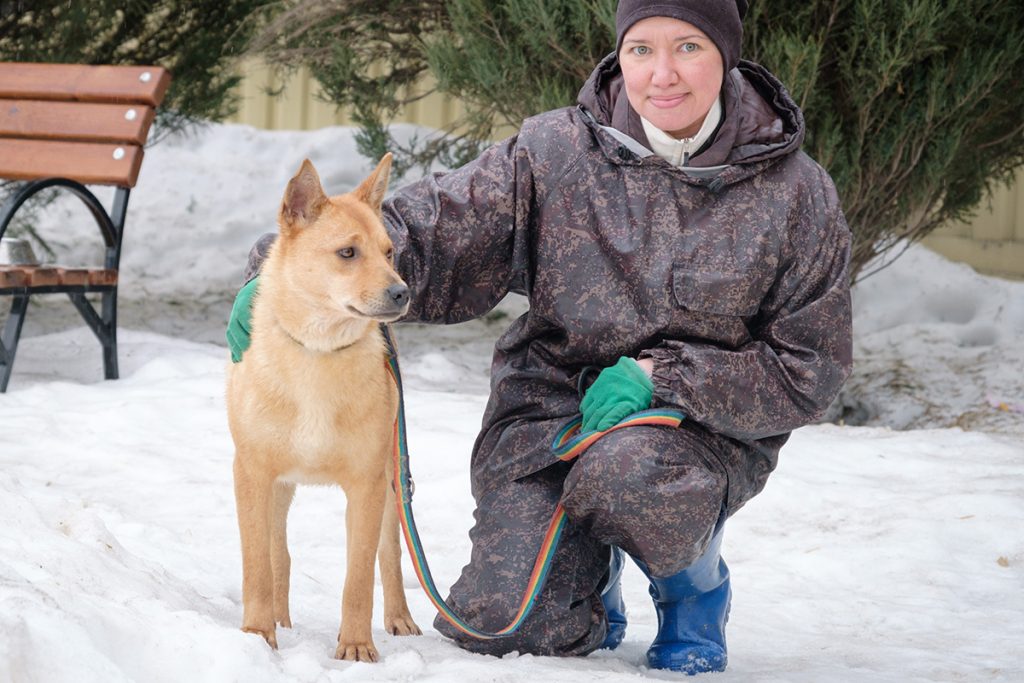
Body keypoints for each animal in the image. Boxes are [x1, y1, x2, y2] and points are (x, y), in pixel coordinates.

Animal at [226, 156, 417, 663]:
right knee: (279, 555)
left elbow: (359, 576)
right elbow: (257, 564)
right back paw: (277, 620)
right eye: (347, 253)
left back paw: (400, 619)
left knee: (389, 556)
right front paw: (256, 636)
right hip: (277, 488)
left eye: (389, 252)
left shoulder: (367, 486)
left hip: (392, 483)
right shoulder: (252, 474)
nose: (402, 293)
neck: (318, 351)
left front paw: (355, 646)